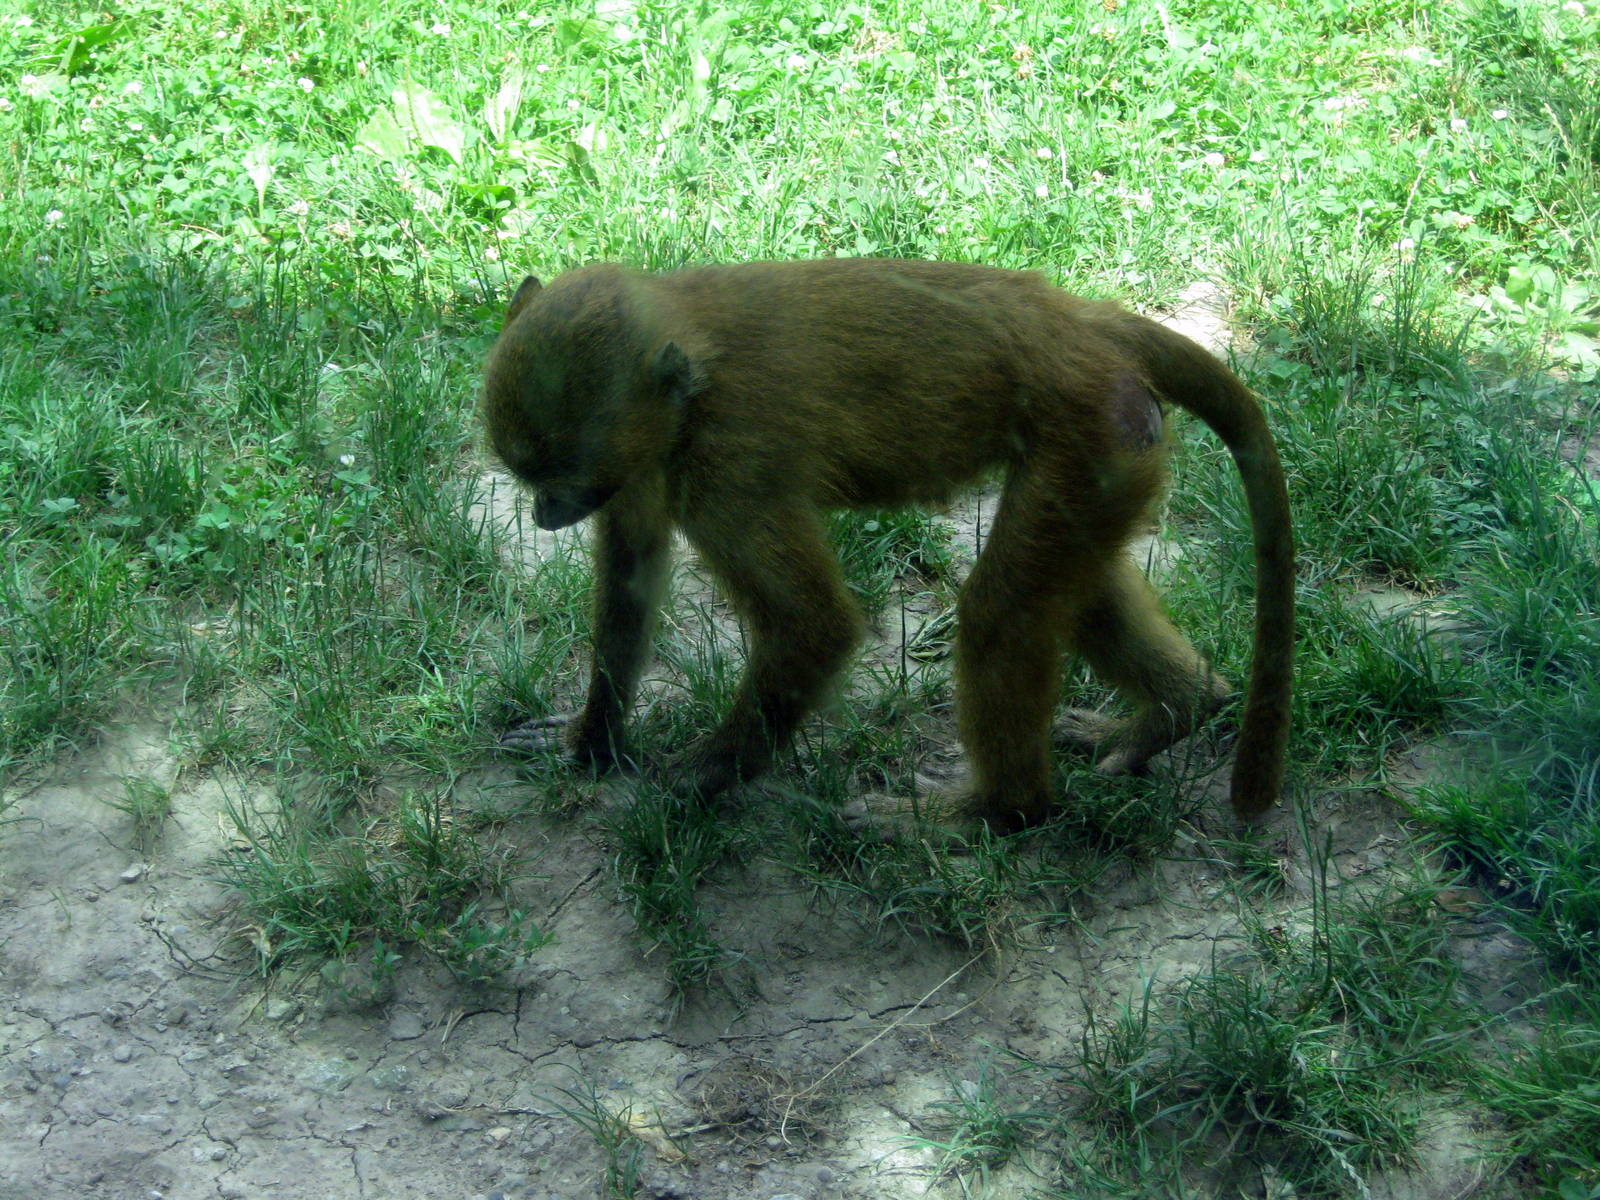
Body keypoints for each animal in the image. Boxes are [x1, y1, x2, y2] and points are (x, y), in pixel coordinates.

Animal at [482, 258, 1293, 827]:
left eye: (556, 479)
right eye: (533, 478)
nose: (544, 515)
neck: (691, 369)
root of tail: (1080, 322)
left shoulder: (725, 466)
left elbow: (813, 626)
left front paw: (702, 775)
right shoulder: (644, 464)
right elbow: (630, 575)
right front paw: (592, 744)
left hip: (1086, 426)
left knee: (1002, 610)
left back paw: (998, 812)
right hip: (1115, 444)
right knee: (1077, 588)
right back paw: (1182, 708)